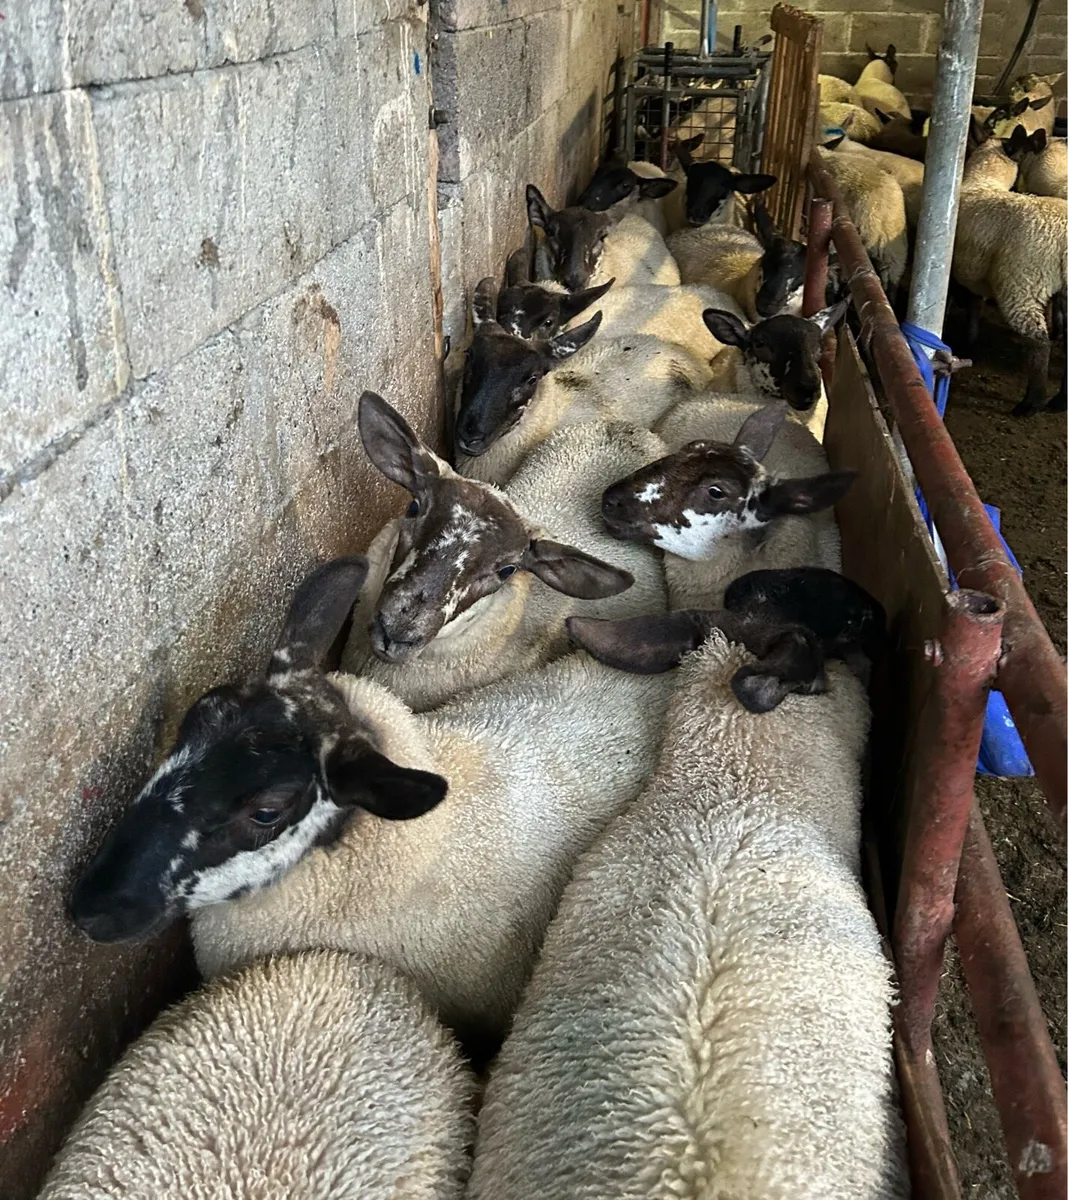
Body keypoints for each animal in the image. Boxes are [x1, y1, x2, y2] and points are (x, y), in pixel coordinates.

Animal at [954, 124, 1068, 414]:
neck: (983, 180)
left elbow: (969, 306)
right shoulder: (974, 273)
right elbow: (975, 307)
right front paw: (970, 343)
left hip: (1022, 283)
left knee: (1039, 342)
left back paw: (1031, 404)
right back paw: (1060, 402)